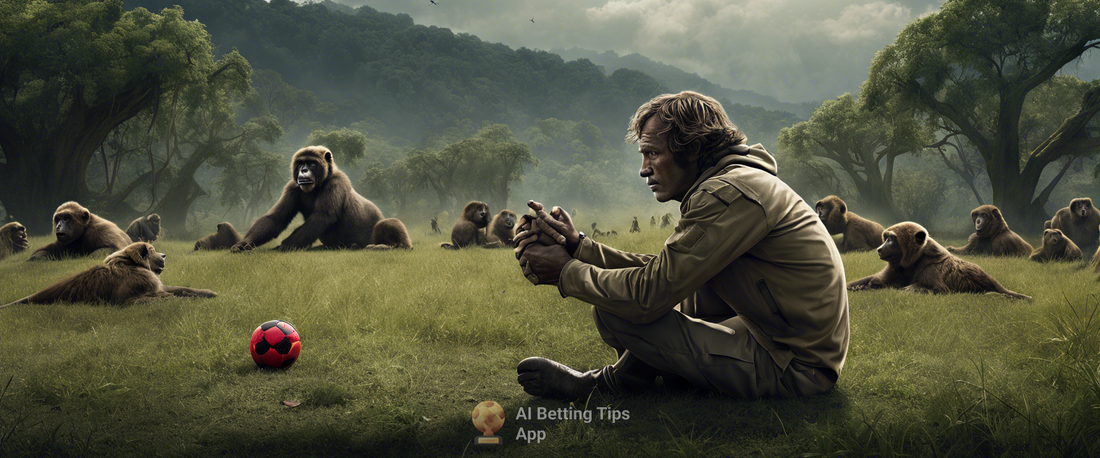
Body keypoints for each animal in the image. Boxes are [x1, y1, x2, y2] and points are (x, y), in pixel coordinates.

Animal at [3, 243, 215, 308]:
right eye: (152, 250)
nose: (163, 255)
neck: (133, 264)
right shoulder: (128, 299)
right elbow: (166, 297)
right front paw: (180, 299)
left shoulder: (156, 285)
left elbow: (183, 289)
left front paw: (209, 293)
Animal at [229, 146, 389, 252]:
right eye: (300, 163)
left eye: (312, 163)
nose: (304, 170)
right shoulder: (292, 187)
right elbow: (275, 219)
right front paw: (244, 243)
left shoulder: (336, 182)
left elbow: (322, 216)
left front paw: (285, 245)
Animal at [849, 222, 1029, 299]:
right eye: (886, 238)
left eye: (891, 239)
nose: (879, 249)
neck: (915, 260)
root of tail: (990, 279)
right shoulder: (896, 268)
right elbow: (874, 280)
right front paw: (855, 286)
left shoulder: (931, 270)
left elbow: (936, 289)